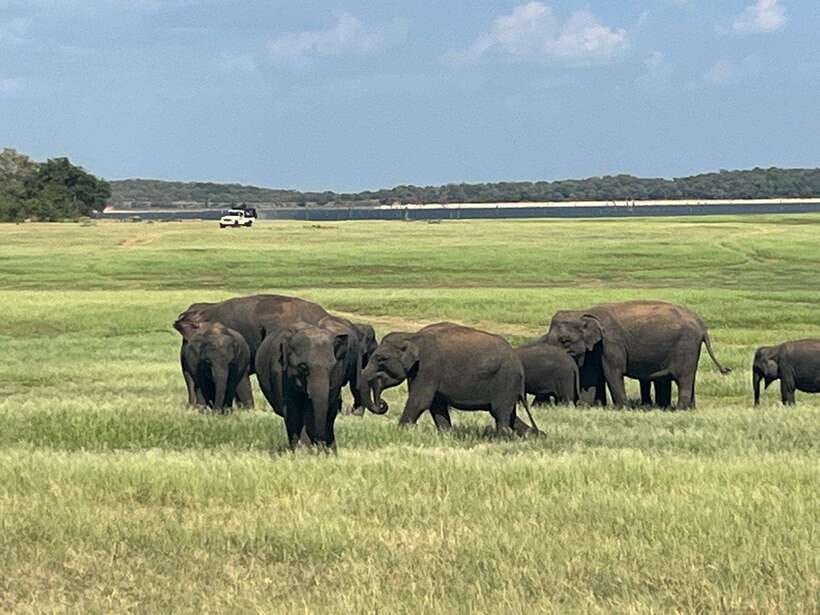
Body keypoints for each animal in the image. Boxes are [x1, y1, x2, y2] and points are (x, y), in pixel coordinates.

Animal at [360, 322, 539, 435]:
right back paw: (535, 435)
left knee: (500, 412)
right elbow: (435, 404)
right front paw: (446, 435)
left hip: (506, 380)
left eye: (381, 359)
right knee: (509, 415)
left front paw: (399, 432)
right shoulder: (419, 371)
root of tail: (518, 362)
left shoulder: (428, 367)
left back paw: (503, 437)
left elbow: (421, 401)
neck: (412, 337)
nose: (382, 404)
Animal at [545, 300, 731, 409]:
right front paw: (585, 407)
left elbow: (613, 372)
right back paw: (689, 409)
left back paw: (680, 409)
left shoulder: (611, 343)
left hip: (686, 346)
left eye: (564, 341)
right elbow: (590, 374)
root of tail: (702, 325)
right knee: (689, 377)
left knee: (684, 377)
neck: (584, 312)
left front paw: (622, 409)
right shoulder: (595, 348)